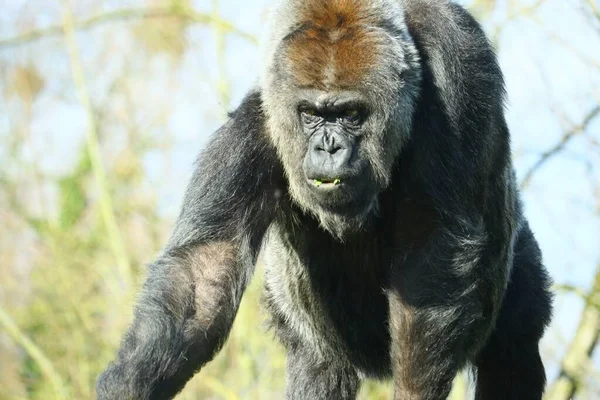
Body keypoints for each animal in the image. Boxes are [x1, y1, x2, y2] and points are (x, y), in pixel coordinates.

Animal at [96, 0, 552, 400]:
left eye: (350, 114)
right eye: (312, 114)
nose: (328, 147)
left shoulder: (458, 62)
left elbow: (434, 257)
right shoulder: (257, 126)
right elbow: (202, 276)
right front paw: (129, 386)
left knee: (514, 347)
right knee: (319, 362)